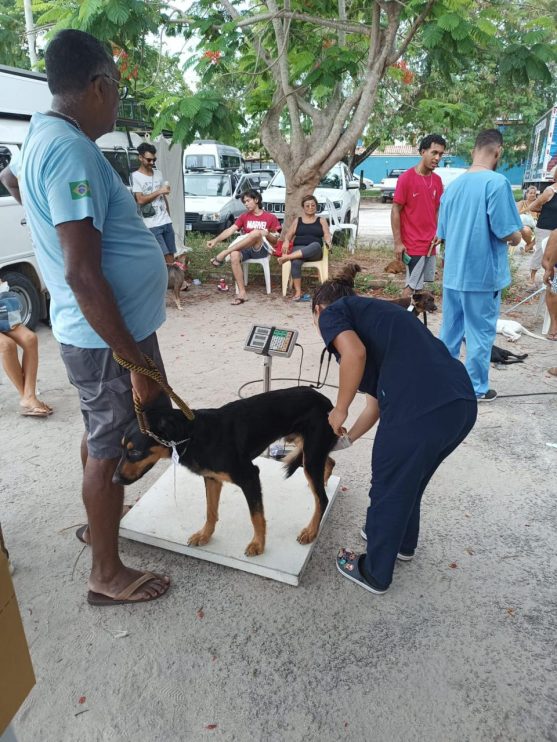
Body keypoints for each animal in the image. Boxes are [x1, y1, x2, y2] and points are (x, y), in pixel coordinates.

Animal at [113, 390, 334, 560]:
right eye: (122, 448)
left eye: (134, 452)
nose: (115, 480)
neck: (193, 435)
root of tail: (325, 400)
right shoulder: (211, 478)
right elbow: (210, 511)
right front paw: (205, 535)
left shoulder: (250, 477)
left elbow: (256, 517)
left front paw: (258, 545)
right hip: (305, 448)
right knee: (330, 462)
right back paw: (321, 482)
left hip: (310, 455)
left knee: (322, 499)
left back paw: (311, 530)